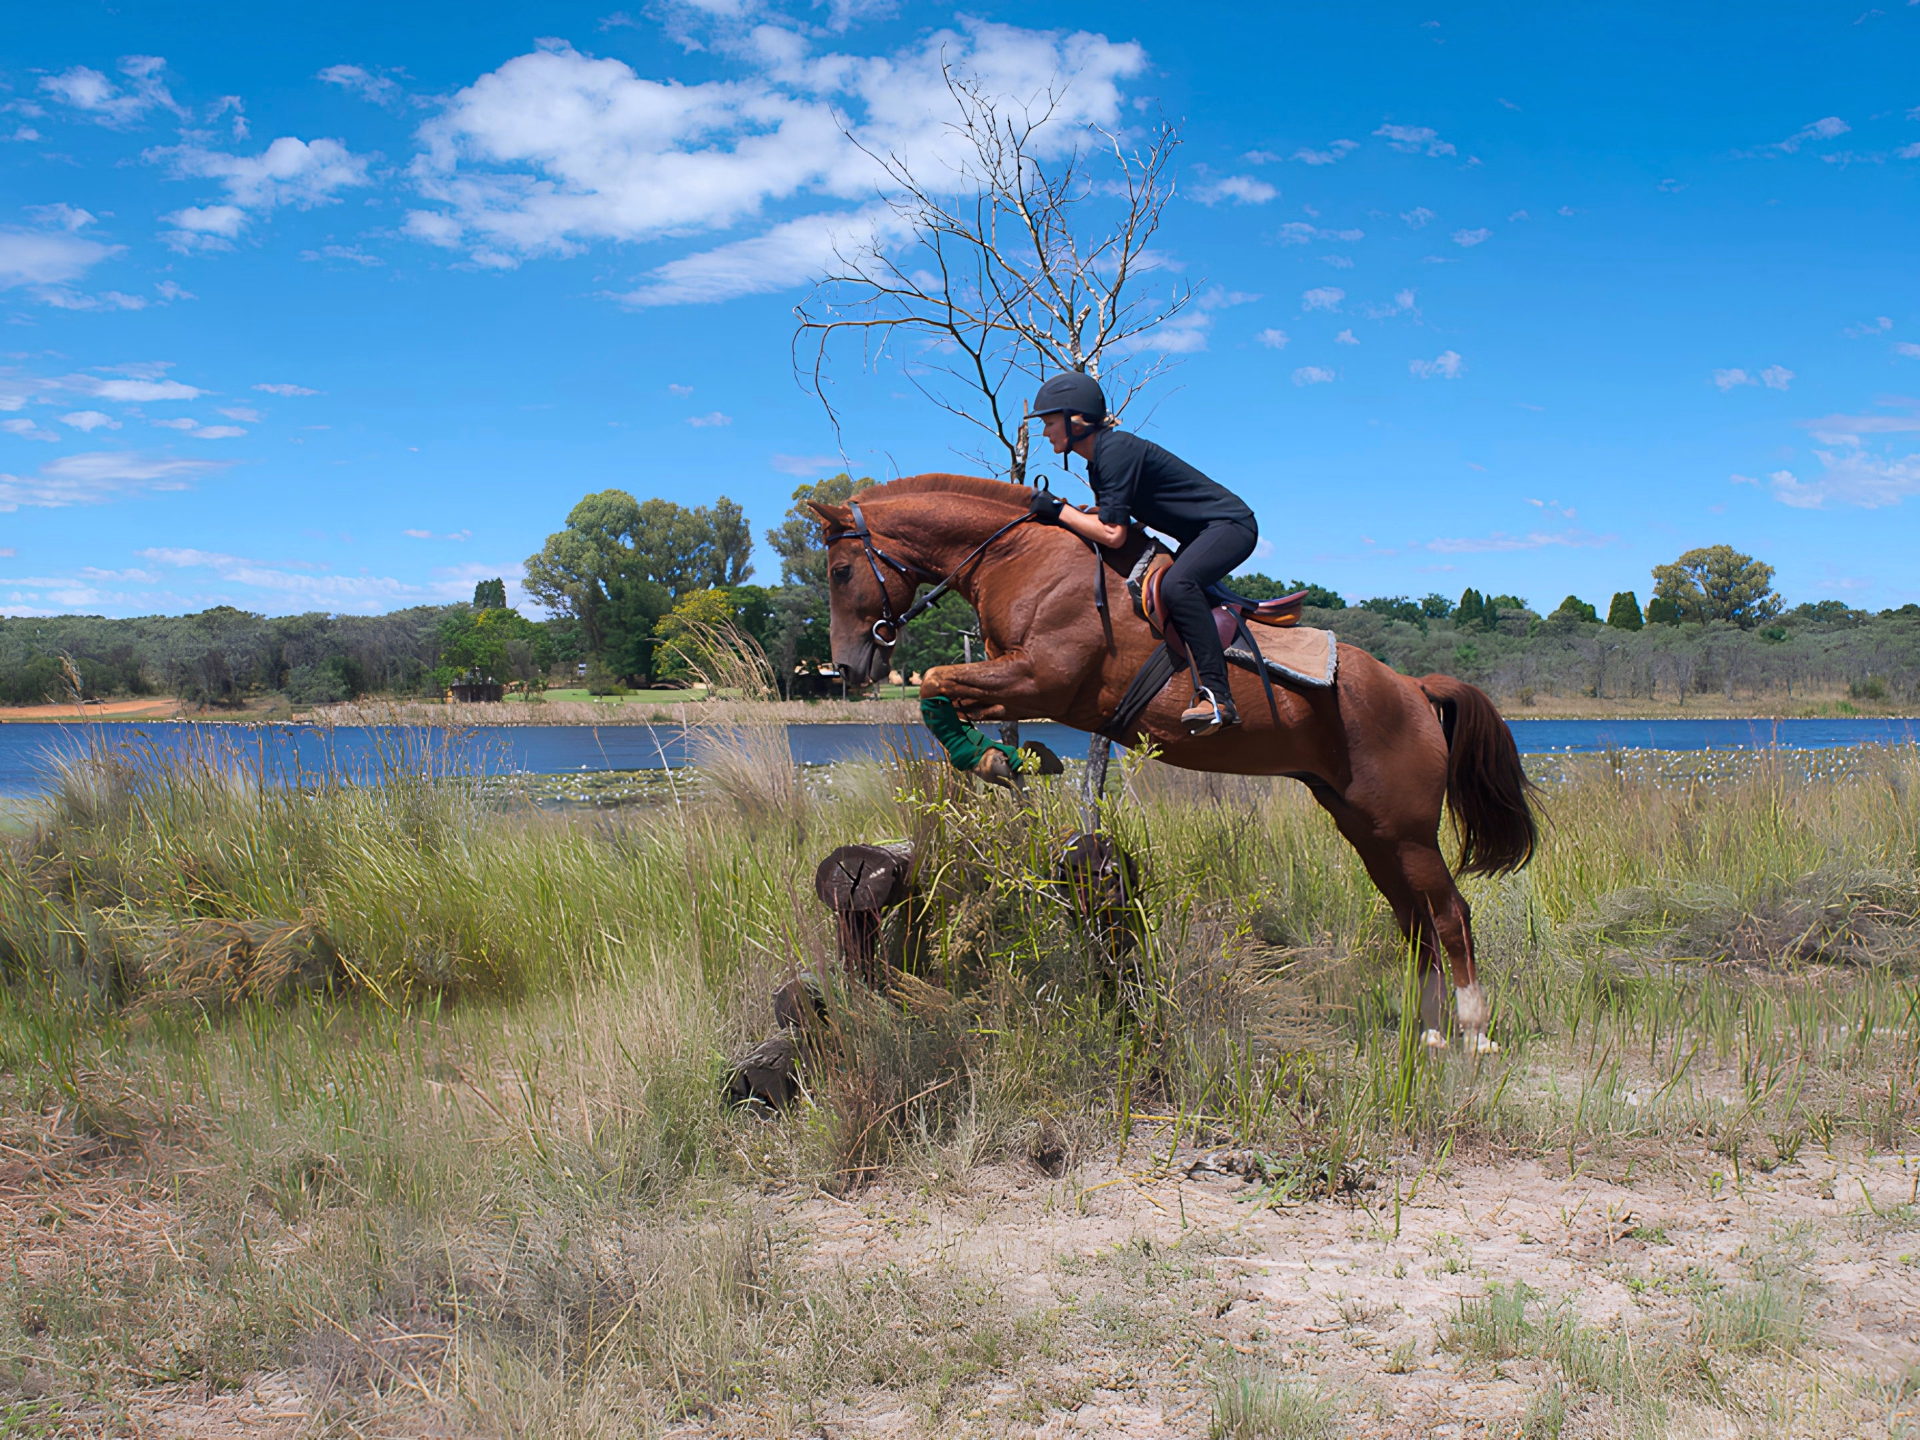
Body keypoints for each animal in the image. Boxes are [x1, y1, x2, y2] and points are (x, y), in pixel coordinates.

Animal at [810, 473, 1538, 1051]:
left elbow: (934, 681)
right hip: (1367, 827)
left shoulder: (1042, 677)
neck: (1022, 555)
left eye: (841, 572)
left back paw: (1474, 1032)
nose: (847, 667)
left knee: (1450, 916)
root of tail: (1413, 688)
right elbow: (942, 693)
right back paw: (1432, 1031)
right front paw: (1013, 757)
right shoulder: (1019, 681)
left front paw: (998, 758)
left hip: (1408, 831)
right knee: (1415, 922)